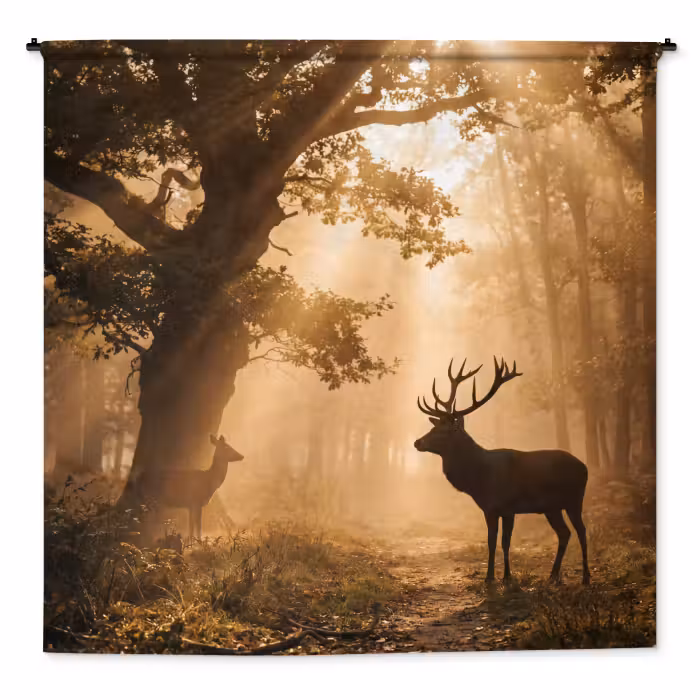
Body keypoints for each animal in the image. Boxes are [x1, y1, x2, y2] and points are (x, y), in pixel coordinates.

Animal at [415, 358, 590, 585]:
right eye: (434, 427)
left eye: (443, 431)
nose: (417, 442)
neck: (480, 478)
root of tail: (584, 467)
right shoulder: (492, 509)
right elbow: (494, 541)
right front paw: (494, 577)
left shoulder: (506, 507)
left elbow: (502, 542)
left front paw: (502, 577)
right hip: (552, 507)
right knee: (564, 533)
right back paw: (552, 576)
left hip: (574, 499)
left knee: (582, 531)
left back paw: (585, 577)